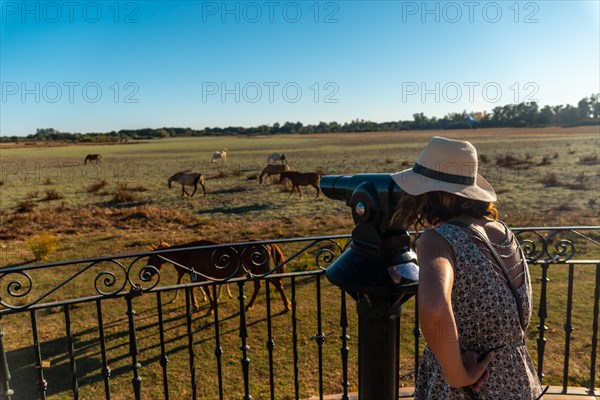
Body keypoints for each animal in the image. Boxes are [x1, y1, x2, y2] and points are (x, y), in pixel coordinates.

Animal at [148, 239, 292, 314]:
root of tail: (266, 244)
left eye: (151, 258)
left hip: (261, 270)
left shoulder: (201, 276)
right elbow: (193, 289)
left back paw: (287, 305)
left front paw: (211, 308)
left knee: (277, 283)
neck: (189, 252)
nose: (146, 274)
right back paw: (249, 305)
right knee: (259, 285)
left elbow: (206, 291)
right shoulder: (198, 276)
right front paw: (196, 305)